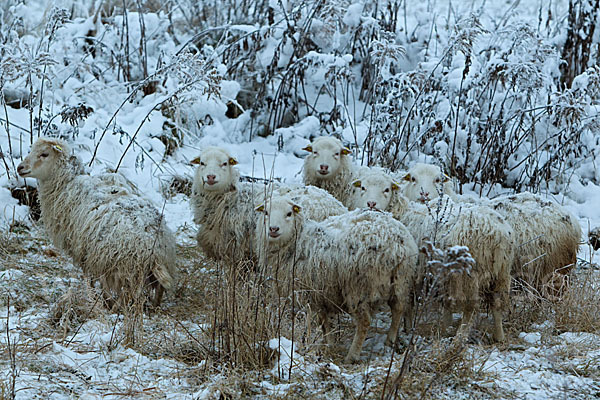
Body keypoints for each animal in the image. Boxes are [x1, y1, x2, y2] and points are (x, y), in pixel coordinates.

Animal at [16, 138, 176, 310]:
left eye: (44, 154)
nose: (20, 168)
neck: (66, 183)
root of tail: (155, 246)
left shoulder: (83, 250)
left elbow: (90, 278)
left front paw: (94, 298)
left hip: (122, 265)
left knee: (127, 293)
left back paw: (115, 306)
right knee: (158, 289)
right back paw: (153, 306)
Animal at [255, 194, 420, 362]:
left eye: (289, 213)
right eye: (266, 212)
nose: (273, 229)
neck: (298, 241)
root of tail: (396, 244)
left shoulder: (311, 293)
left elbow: (322, 321)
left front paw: (326, 345)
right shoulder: (321, 293)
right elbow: (324, 321)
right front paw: (329, 343)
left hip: (358, 286)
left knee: (364, 321)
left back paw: (352, 355)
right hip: (401, 279)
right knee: (398, 309)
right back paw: (390, 341)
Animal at [350, 167, 512, 342]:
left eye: (387, 189)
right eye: (363, 187)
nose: (371, 204)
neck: (403, 213)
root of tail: (495, 233)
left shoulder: (411, 271)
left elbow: (409, 301)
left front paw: (408, 327)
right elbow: (444, 301)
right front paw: (444, 326)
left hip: (470, 273)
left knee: (472, 305)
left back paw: (460, 337)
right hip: (502, 271)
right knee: (497, 301)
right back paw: (499, 335)